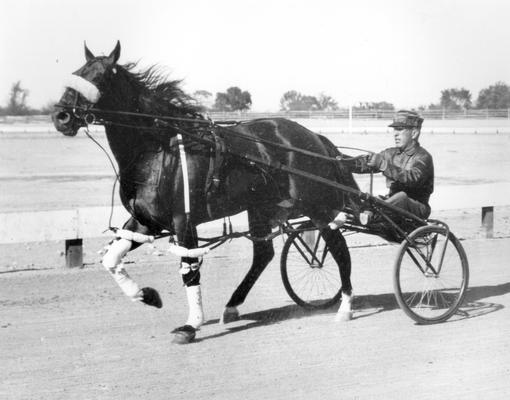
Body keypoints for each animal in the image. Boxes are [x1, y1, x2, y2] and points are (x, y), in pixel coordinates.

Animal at [52, 41, 358, 344]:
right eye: (77, 72)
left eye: (101, 77)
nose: (60, 116)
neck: (159, 148)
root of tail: (314, 138)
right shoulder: (145, 220)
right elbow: (111, 259)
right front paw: (147, 295)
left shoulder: (183, 221)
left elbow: (189, 269)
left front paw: (190, 325)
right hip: (260, 207)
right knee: (263, 255)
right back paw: (232, 306)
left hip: (317, 206)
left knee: (339, 248)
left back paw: (345, 306)